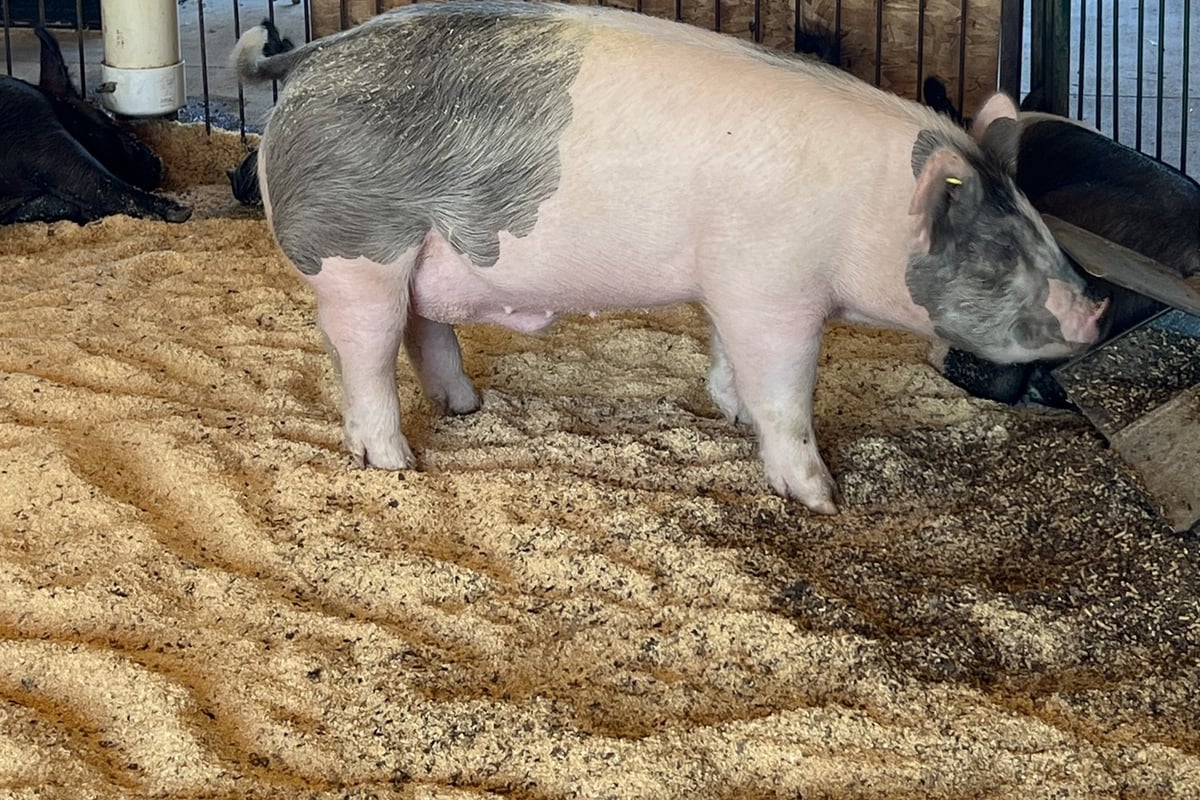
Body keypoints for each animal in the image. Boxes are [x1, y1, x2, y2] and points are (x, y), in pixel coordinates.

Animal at [233, 1, 1106, 514]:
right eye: (999, 253)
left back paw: (467, 409)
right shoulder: (774, 290)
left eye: (1042, 229)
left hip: (419, 261)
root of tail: (308, 59)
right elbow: (785, 394)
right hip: (357, 252)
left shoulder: (731, 285)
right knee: (365, 355)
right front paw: (820, 501)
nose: (1094, 309)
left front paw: (728, 411)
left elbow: (728, 359)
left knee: (424, 332)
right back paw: (395, 465)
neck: (867, 213)